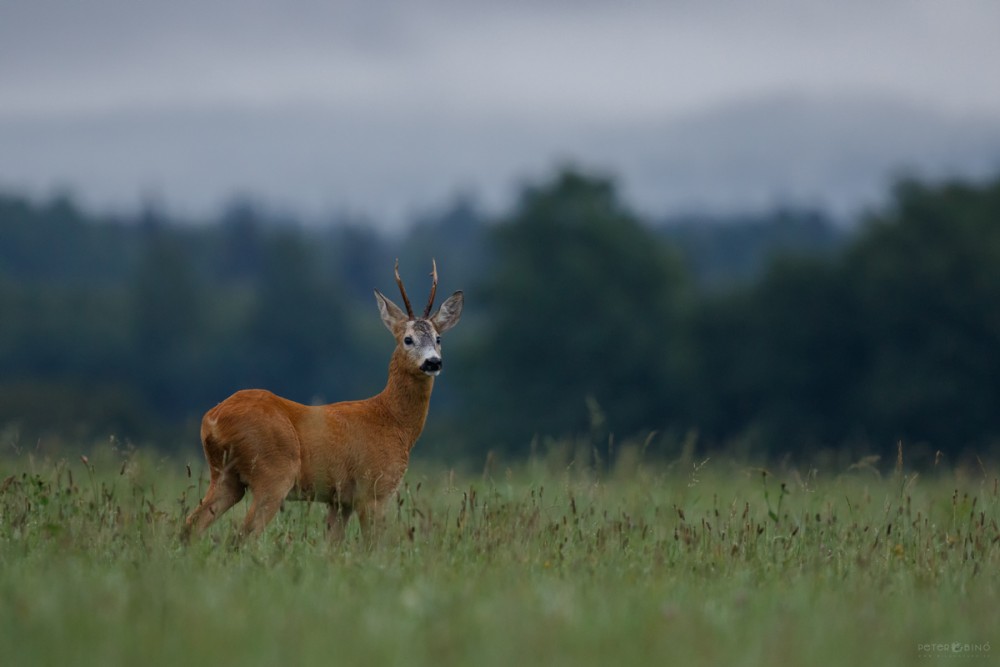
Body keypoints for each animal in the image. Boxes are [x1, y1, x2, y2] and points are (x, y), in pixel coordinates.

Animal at [182, 260, 462, 544]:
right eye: (408, 339)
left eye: (438, 338)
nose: (433, 362)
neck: (393, 421)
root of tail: (212, 419)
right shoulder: (374, 489)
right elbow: (373, 546)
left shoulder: (340, 501)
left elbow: (332, 545)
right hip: (272, 472)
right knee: (240, 537)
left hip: (225, 476)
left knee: (190, 526)